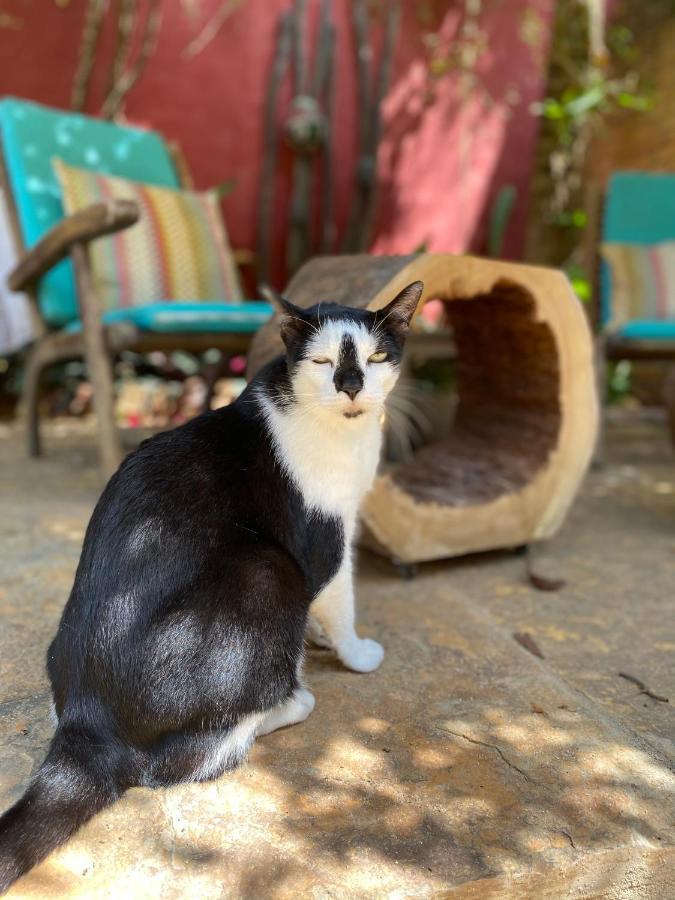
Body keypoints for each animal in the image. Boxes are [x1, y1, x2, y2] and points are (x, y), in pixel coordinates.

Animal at [0, 282, 422, 892]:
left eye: (377, 356)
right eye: (323, 362)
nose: (351, 386)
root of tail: (87, 723)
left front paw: (321, 641)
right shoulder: (324, 537)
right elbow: (341, 601)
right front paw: (356, 653)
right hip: (266, 571)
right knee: (180, 763)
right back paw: (292, 698)